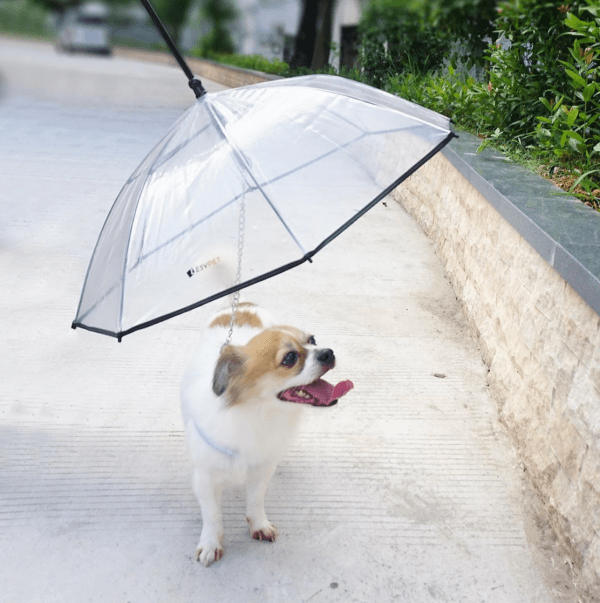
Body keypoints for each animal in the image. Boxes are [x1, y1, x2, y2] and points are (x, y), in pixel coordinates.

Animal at [180, 304, 354, 568]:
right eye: (290, 358)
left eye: (312, 340)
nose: (328, 353)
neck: (257, 413)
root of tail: (242, 304)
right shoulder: (205, 478)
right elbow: (212, 514)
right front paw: (211, 542)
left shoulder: (261, 467)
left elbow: (255, 499)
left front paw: (258, 524)